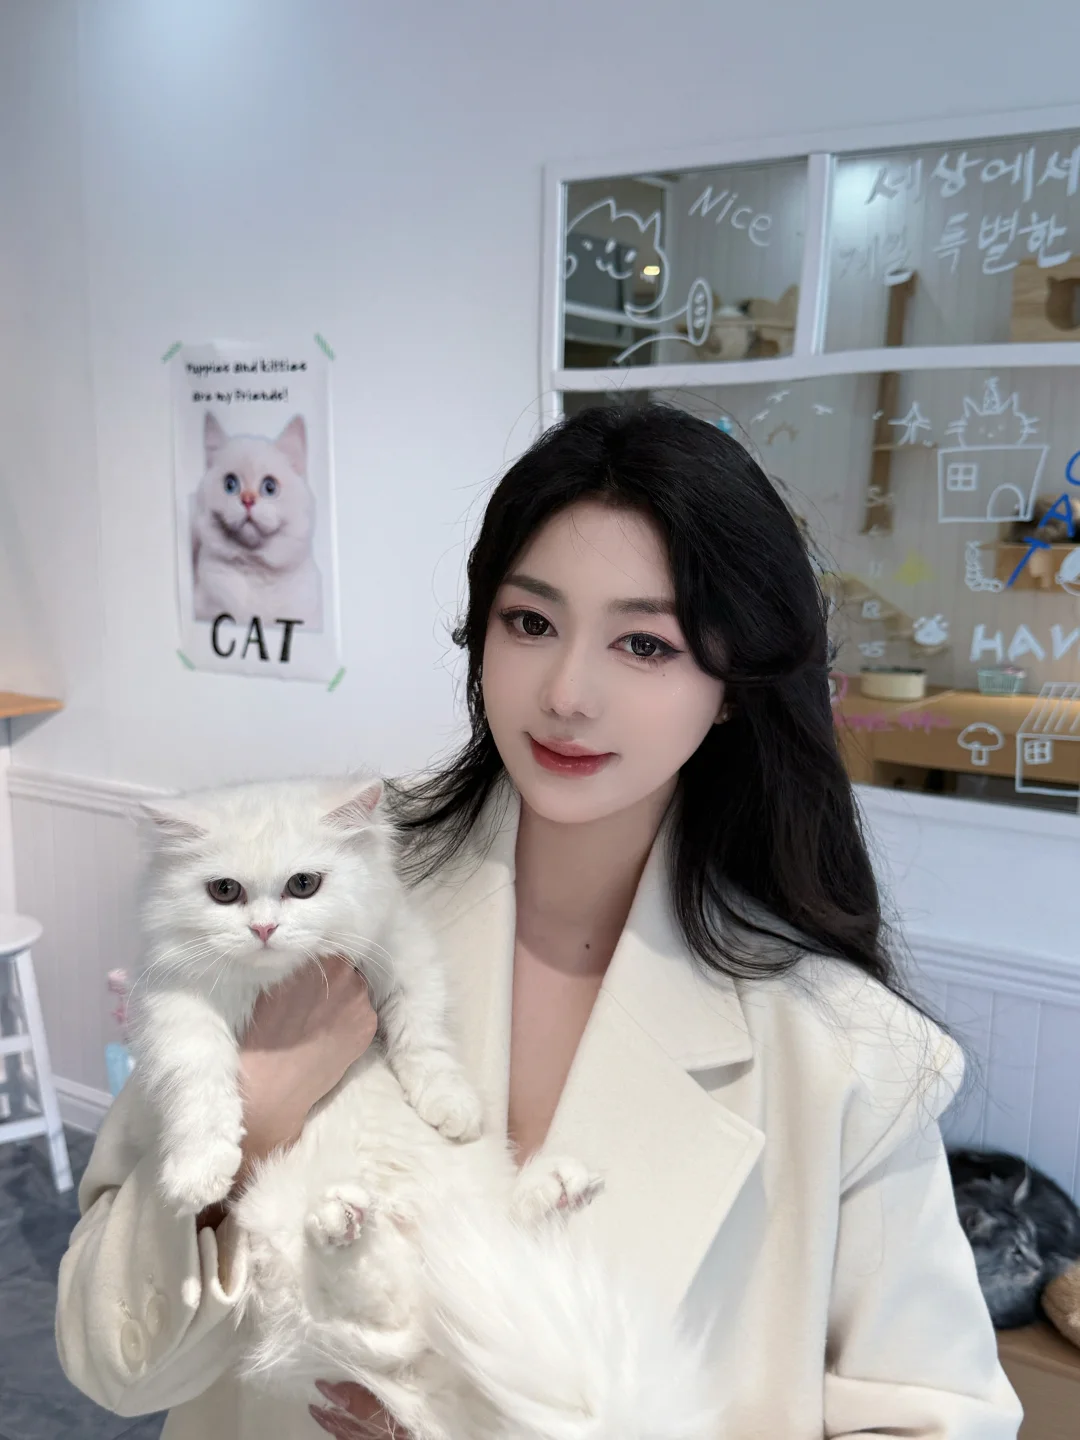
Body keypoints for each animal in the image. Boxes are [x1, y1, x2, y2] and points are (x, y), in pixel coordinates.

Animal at [128, 776, 720, 1440]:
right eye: (224, 892)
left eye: (303, 884)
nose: (263, 930)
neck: (274, 981)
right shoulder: (179, 1012)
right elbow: (201, 1092)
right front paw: (199, 1174)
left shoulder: (402, 954)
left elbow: (422, 1038)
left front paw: (451, 1108)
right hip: (285, 1253)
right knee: (373, 1305)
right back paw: (344, 1219)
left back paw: (550, 1188)